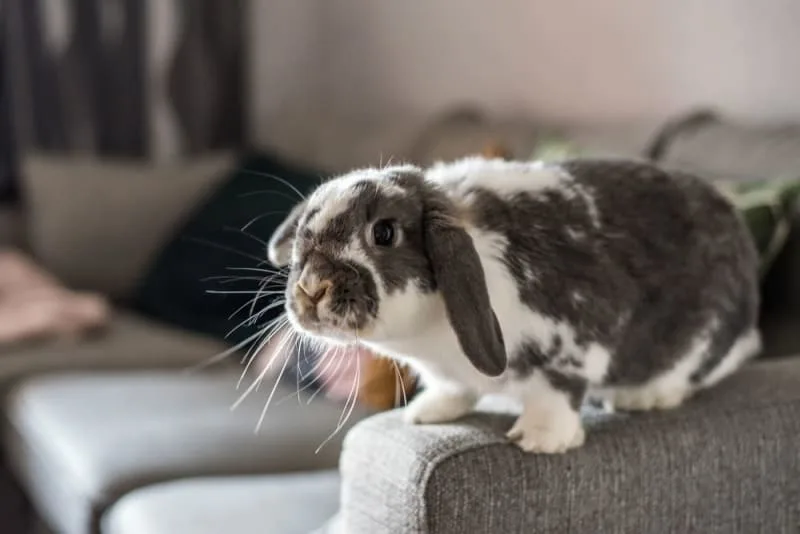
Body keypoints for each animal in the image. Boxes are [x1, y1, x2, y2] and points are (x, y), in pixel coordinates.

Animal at [267, 156, 761, 454]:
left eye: (384, 233)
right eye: (304, 230)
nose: (312, 288)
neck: (430, 338)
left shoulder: (571, 341)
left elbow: (556, 393)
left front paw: (542, 440)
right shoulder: (447, 373)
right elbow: (452, 389)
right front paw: (427, 413)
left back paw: (645, 396)